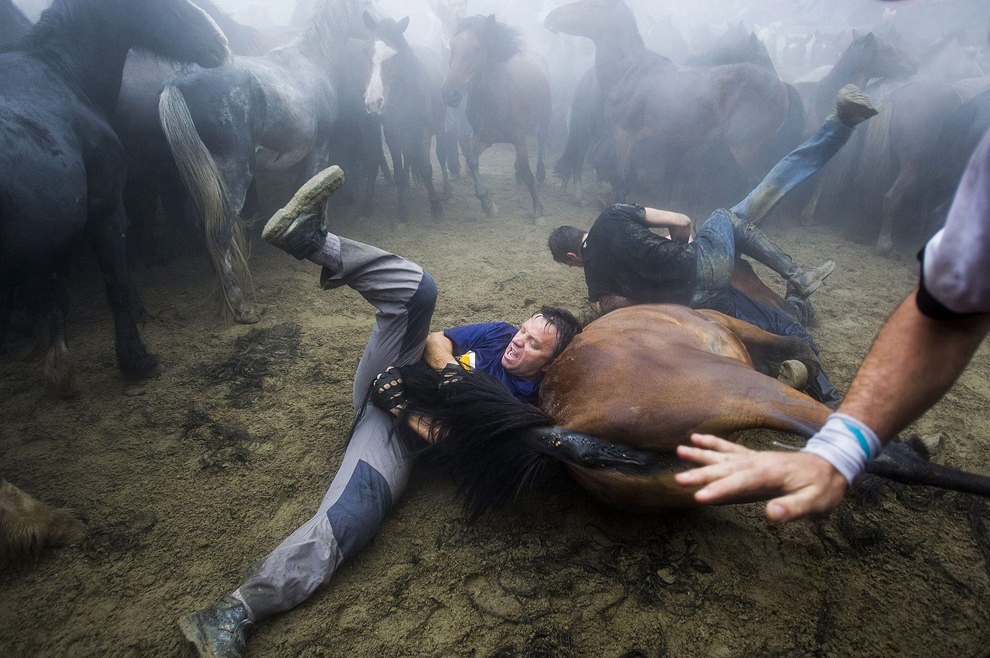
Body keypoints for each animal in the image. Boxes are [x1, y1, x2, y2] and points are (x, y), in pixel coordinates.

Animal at [0, 0, 227, 392]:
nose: (221, 41)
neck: (64, 74)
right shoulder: (106, 212)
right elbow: (117, 287)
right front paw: (136, 358)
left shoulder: (51, 236)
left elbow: (55, 297)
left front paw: (58, 368)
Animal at [159, 0, 376, 320]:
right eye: (366, 6)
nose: (382, 24)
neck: (313, 61)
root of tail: (178, 81)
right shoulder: (319, 149)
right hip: (233, 174)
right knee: (219, 230)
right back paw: (239, 306)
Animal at [444, 14, 556, 220]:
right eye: (452, 45)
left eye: (477, 47)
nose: (449, 93)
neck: (493, 100)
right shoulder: (483, 137)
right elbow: (472, 161)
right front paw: (487, 204)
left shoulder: (518, 137)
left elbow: (528, 172)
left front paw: (538, 209)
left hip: (545, 118)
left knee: (541, 141)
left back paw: (541, 173)